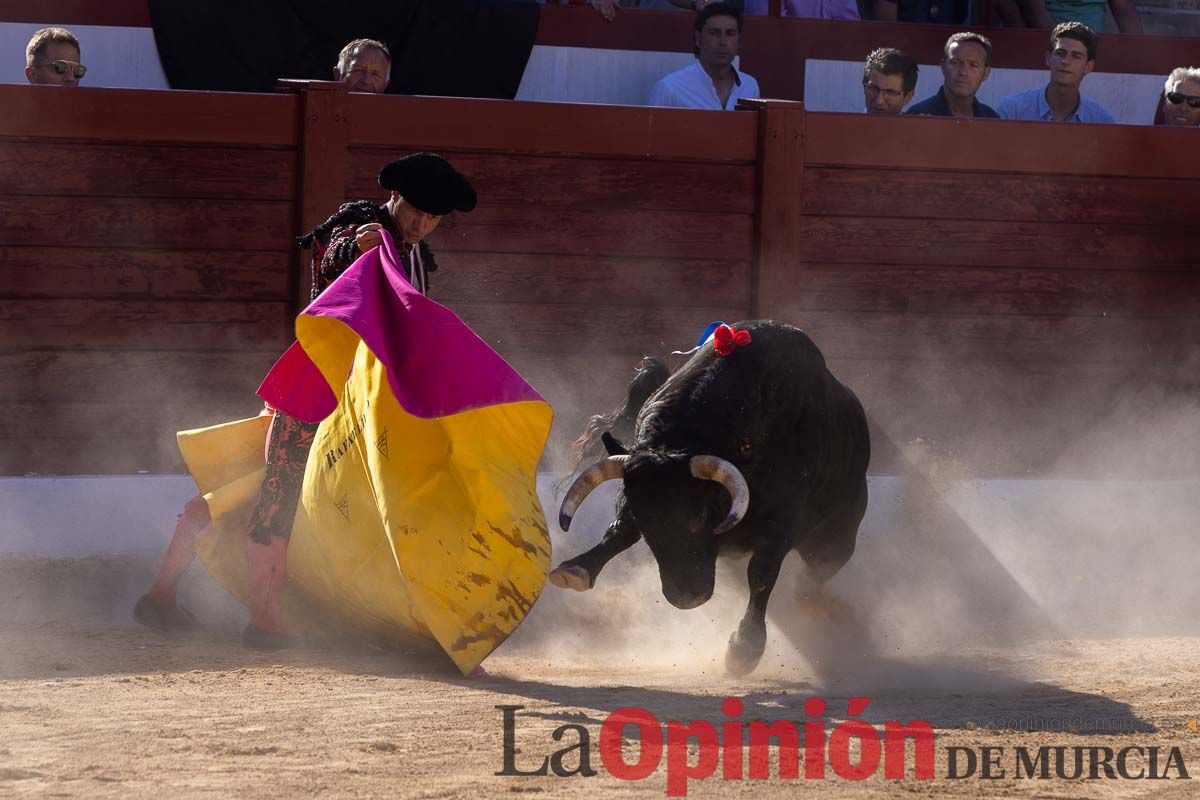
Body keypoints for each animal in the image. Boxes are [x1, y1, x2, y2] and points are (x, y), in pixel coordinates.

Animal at [549, 319, 868, 676]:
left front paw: (744, 650)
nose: (686, 596)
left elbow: (762, 574)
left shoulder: (783, 518)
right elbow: (618, 532)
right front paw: (575, 569)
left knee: (815, 576)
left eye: (701, 515)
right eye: (646, 522)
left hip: (836, 538)